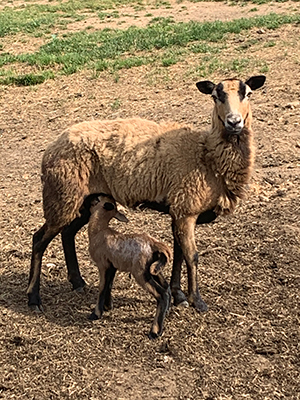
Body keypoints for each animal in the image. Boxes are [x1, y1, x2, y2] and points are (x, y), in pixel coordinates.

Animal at [28, 75, 266, 312]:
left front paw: (178, 295)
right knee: (39, 239)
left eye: (248, 94)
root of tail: (51, 147)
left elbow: (178, 254)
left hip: (82, 200)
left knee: (67, 234)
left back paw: (78, 282)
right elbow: (192, 256)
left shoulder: (178, 209)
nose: (234, 122)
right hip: (61, 194)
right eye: (215, 96)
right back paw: (33, 299)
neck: (207, 156)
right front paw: (197, 301)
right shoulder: (186, 209)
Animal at [86, 193, 171, 338]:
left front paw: (96, 314)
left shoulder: (103, 264)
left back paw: (155, 331)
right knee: (166, 287)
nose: (89, 198)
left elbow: (102, 286)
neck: (99, 230)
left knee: (162, 293)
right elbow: (109, 285)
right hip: (153, 269)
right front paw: (107, 307)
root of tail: (154, 244)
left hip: (140, 271)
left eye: (98, 199)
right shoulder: (112, 265)